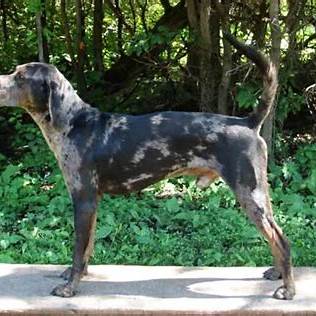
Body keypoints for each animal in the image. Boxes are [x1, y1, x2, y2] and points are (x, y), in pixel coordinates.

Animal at [0, 35, 296, 300]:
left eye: (20, 77)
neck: (73, 122)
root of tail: (247, 122)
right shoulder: (93, 202)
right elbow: (88, 246)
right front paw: (78, 275)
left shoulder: (83, 199)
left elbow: (78, 248)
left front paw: (70, 288)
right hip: (259, 193)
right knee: (276, 235)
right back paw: (277, 273)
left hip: (249, 193)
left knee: (281, 240)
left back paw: (288, 290)